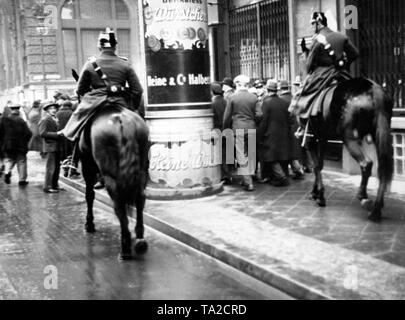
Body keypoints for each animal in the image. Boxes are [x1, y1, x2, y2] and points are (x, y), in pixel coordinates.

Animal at [79, 105, 148, 260]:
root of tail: (124, 120)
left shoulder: (87, 166)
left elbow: (89, 195)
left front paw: (89, 224)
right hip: (142, 171)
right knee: (140, 199)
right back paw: (139, 239)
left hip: (110, 176)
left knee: (119, 204)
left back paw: (125, 248)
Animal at [304, 76, 392, 221]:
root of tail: (373, 89)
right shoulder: (321, 137)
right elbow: (320, 165)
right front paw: (316, 192)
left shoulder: (313, 138)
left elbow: (317, 166)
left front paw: (319, 195)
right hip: (379, 134)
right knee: (383, 168)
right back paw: (376, 209)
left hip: (348, 137)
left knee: (366, 163)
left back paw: (363, 196)